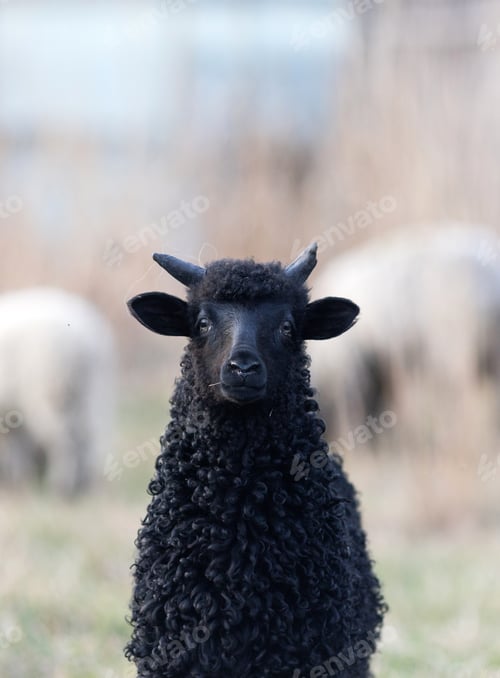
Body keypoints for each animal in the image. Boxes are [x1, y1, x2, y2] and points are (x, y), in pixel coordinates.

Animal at [0, 287, 115, 496]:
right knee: (87, 437)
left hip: (48, 396)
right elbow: (17, 446)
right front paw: (18, 479)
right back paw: (83, 483)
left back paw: (63, 486)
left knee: (63, 441)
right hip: (91, 392)